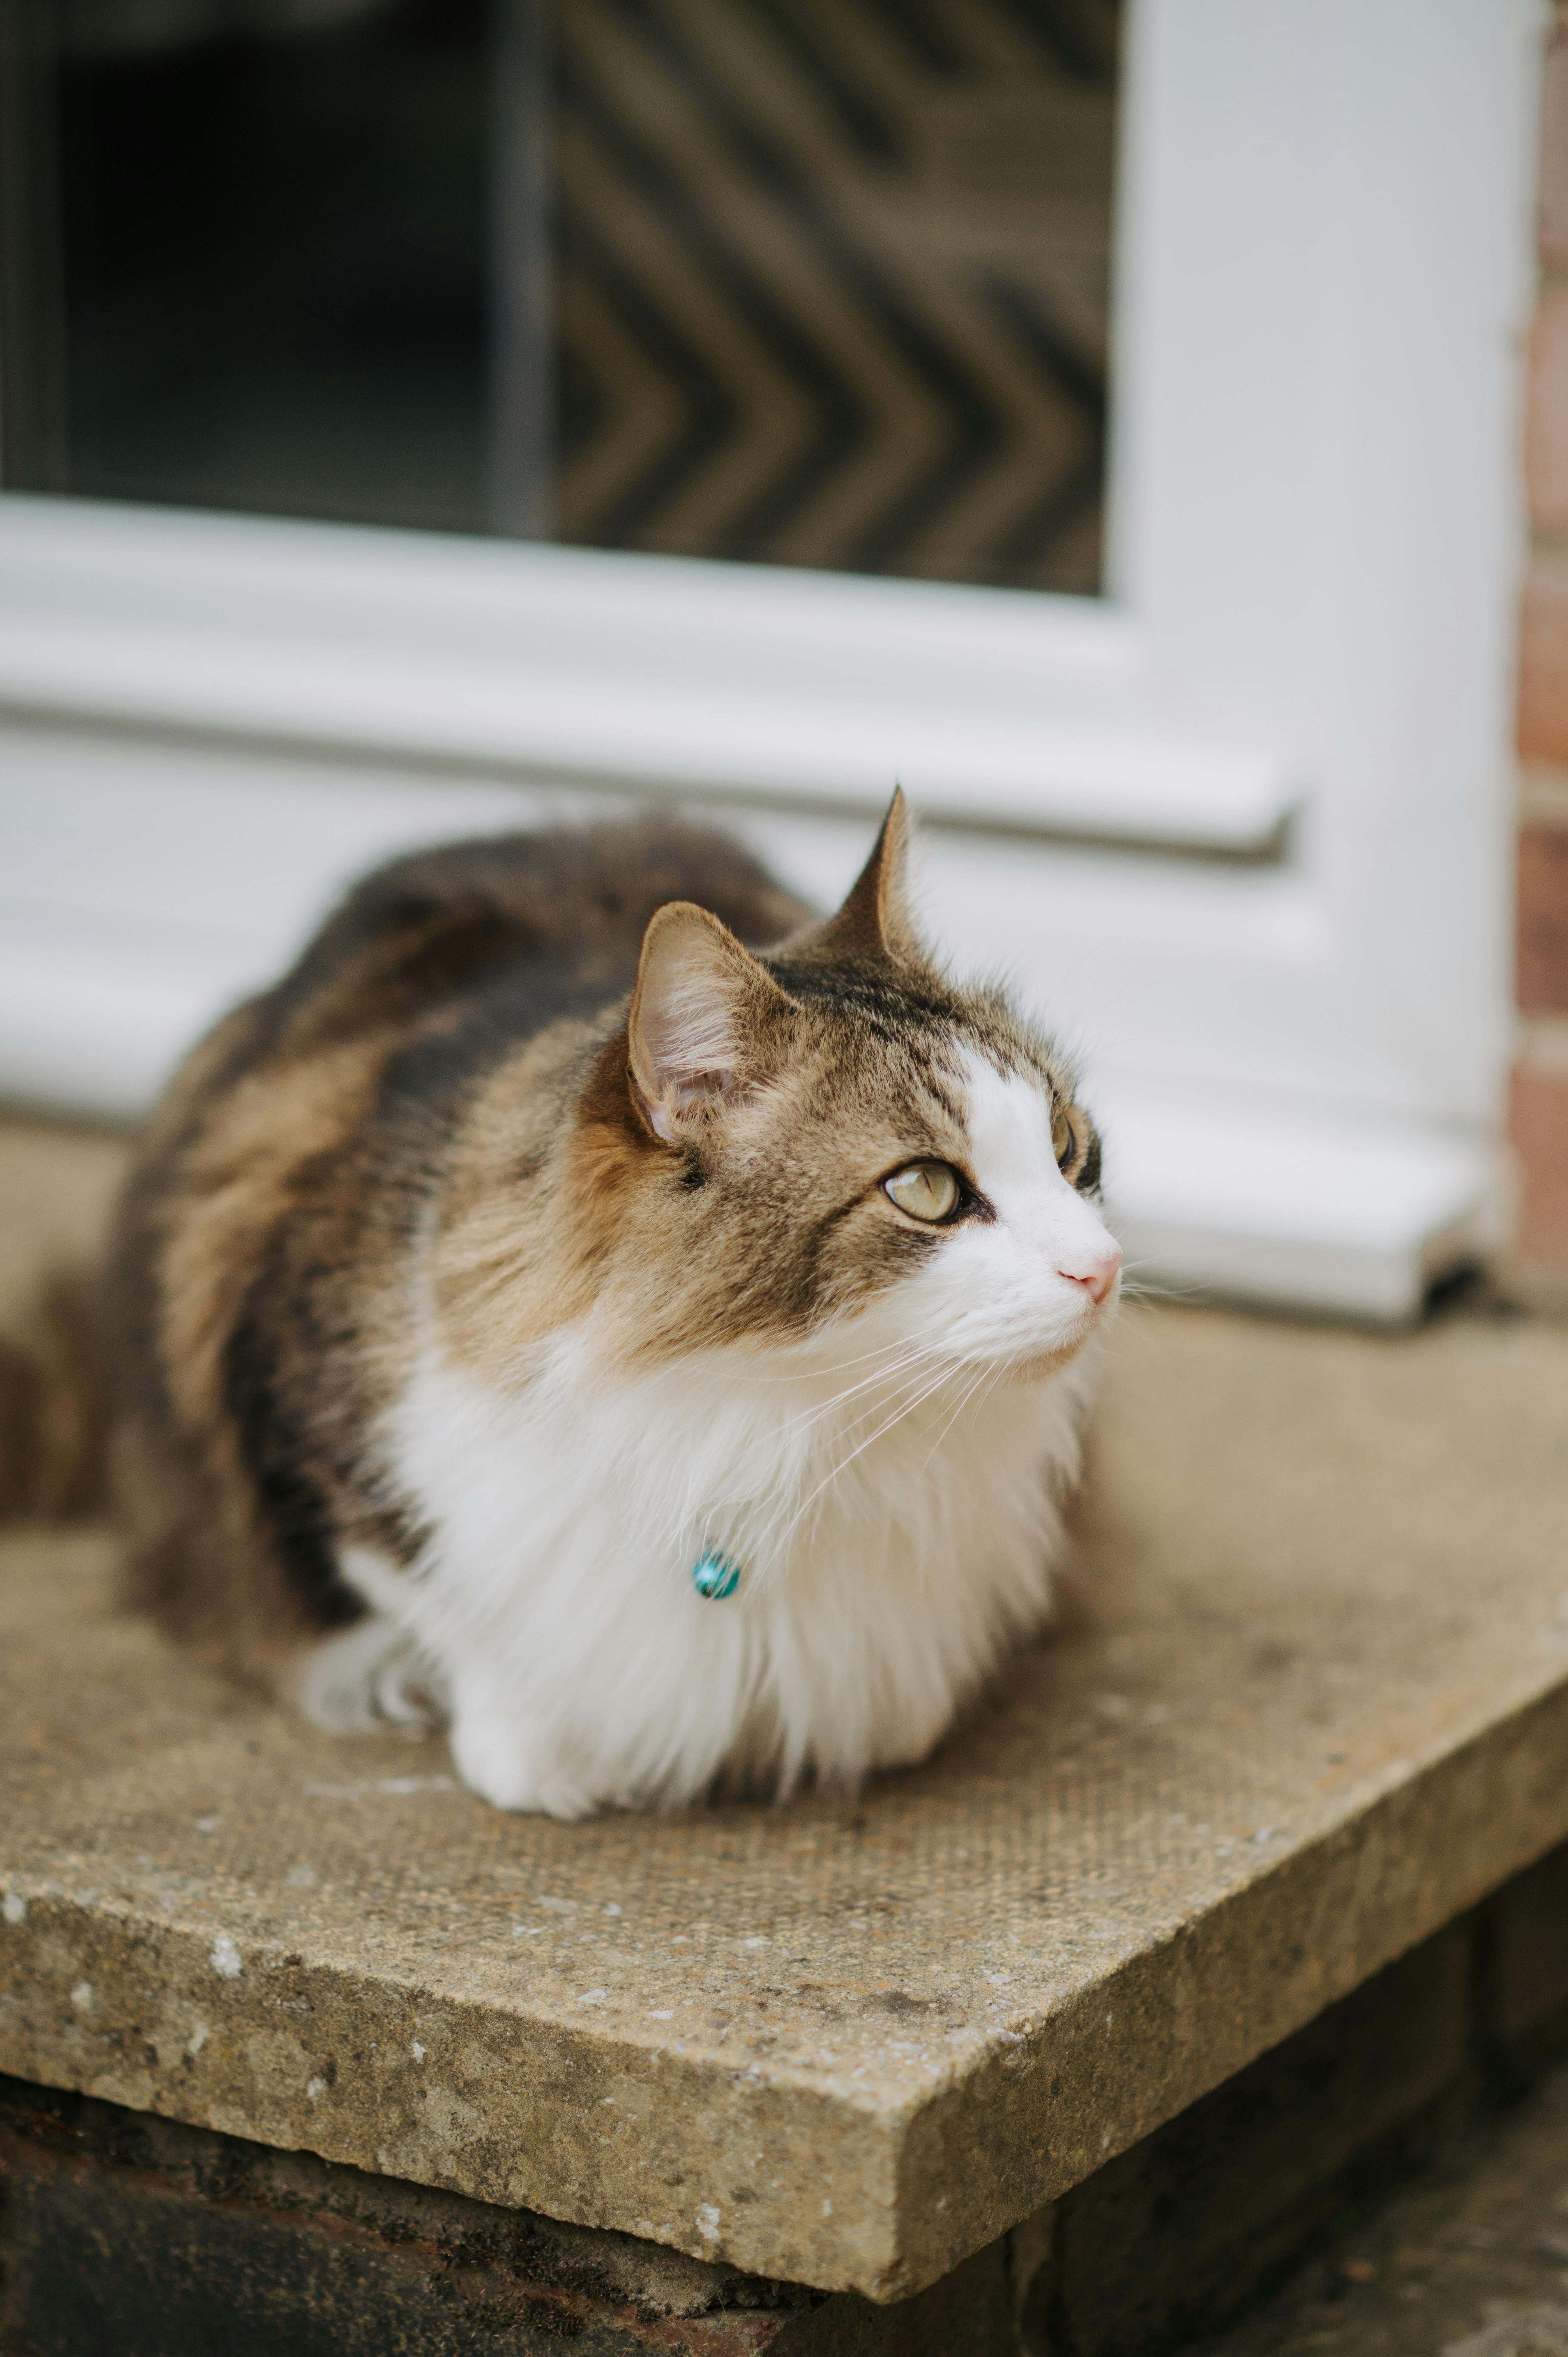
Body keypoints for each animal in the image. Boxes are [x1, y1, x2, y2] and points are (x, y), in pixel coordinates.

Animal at [88, 782, 1113, 1810]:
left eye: (1066, 1144)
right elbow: (438, 1604)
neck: (792, 1428)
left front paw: (889, 1716)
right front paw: (534, 1755)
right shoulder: (301, 1408)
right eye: (926, 1189)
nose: (1101, 1270)